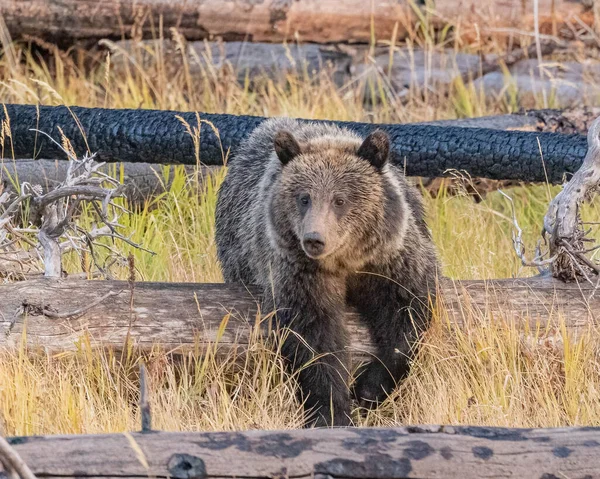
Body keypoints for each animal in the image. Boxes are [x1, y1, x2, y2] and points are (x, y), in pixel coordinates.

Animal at [213, 117, 438, 428]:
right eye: (304, 198)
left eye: (340, 200)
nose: (314, 239)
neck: (344, 262)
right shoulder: (299, 272)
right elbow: (314, 337)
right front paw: (331, 412)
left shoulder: (388, 259)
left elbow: (407, 313)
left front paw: (368, 389)